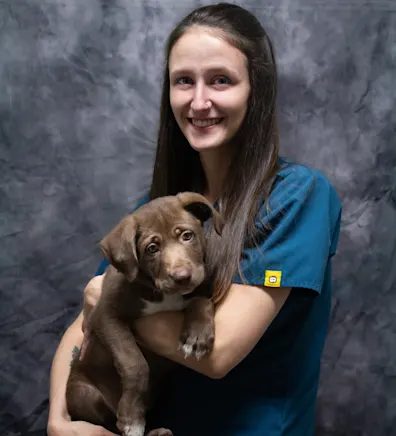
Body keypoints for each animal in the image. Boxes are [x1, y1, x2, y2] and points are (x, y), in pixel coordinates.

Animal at [66, 193, 224, 436]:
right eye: (152, 248)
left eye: (187, 236)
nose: (182, 277)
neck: (160, 292)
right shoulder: (105, 316)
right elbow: (135, 363)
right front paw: (132, 417)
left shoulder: (202, 287)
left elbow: (201, 301)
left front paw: (196, 336)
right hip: (83, 394)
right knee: (108, 425)